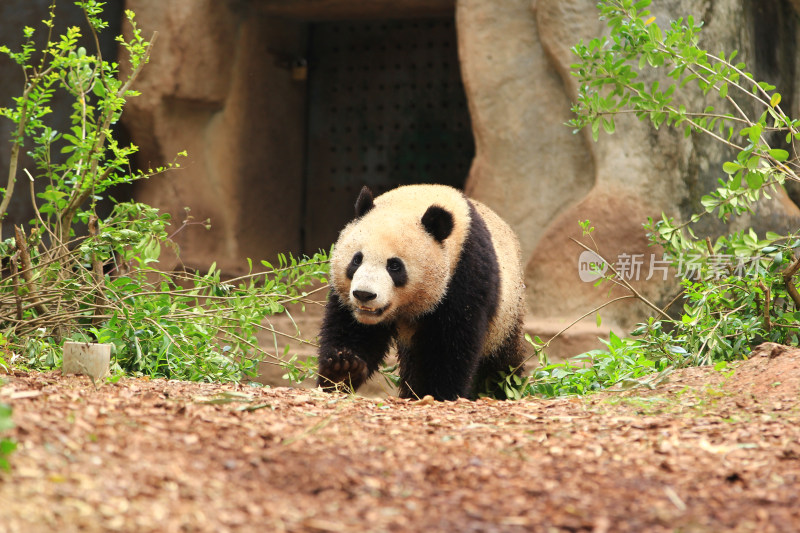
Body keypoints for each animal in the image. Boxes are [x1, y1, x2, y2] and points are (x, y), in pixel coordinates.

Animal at [316, 184, 528, 400]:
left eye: (394, 266)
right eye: (356, 260)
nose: (364, 294)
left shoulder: (465, 272)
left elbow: (449, 344)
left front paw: (437, 392)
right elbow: (353, 329)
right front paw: (343, 369)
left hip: (505, 319)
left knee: (501, 365)